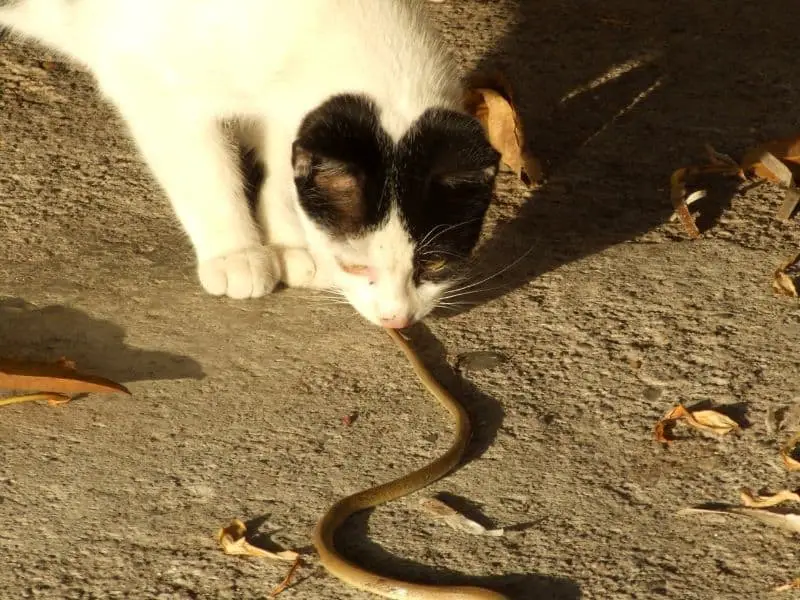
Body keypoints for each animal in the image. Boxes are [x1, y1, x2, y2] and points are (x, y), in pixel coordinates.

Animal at [0, 0, 500, 328]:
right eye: (355, 267)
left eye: (435, 265)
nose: (398, 320)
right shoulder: (147, 80)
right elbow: (204, 169)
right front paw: (236, 252)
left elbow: (281, 168)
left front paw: (290, 242)